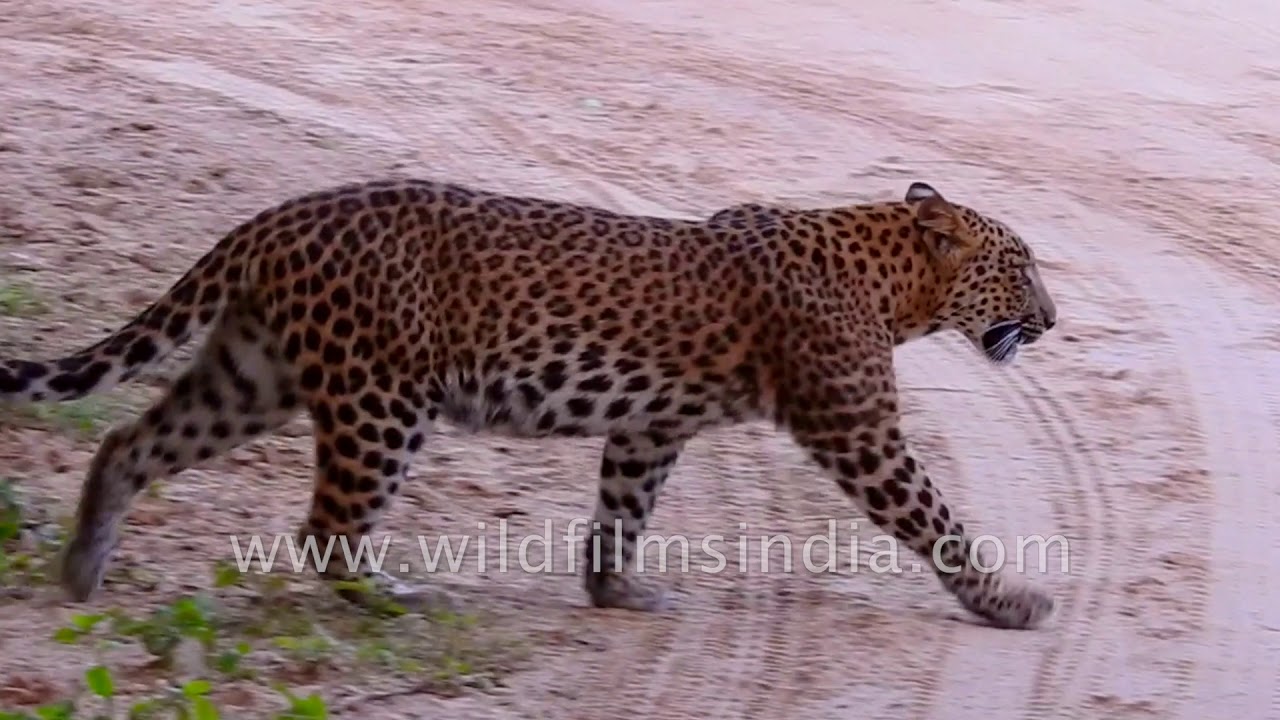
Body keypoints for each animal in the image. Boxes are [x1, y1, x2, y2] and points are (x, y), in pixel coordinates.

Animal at [0, 177, 1058, 629]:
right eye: (1021, 265)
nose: (1053, 319)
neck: (894, 284)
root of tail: (281, 213)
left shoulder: (649, 426)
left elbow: (622, 511)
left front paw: (617, 593)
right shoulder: (858, 431)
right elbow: (937, 521)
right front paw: (1008, 602)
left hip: (252, 375)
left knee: (129, 442)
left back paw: (81, 570)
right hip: (382, 396)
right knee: (326, 527)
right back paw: (393, 599)